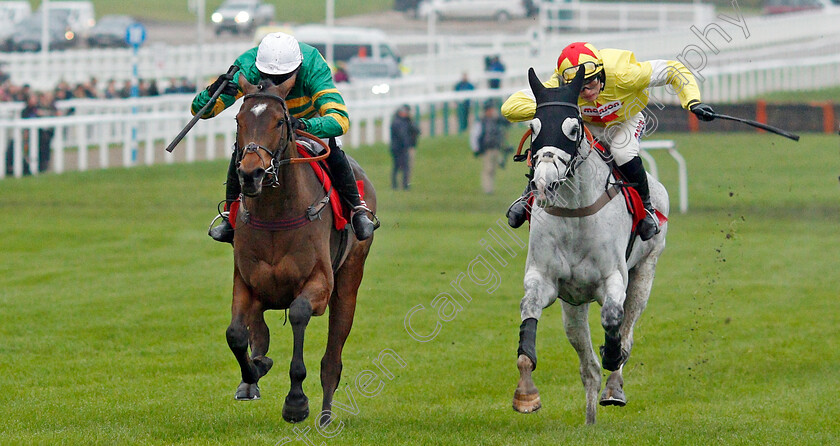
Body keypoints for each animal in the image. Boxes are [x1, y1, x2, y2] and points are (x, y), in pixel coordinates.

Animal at [228, 74, 376, 426]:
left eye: (280, 121)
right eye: (239, 120)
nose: (251, 174)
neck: (275, 215)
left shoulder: (319, 284)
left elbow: (298, 314)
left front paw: (296, 402)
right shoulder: (245, 280)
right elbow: (236, 333)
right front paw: (254, 371)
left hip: (349, 281)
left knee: (332, 359)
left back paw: (325, 415)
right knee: (259, 329)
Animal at [512, 67, 668, 426]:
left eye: (572, 127)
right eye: (533, 127)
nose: (543, 181)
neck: (575, 213)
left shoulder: (614, 279)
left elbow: (613, 320)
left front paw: (612, 354)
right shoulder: (544, 280)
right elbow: (528, 319)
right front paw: (526, 394)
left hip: (645, 271)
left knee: (627, 330)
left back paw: (613, 389)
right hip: (573, 306)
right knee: (588, 369)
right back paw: (590, 417)